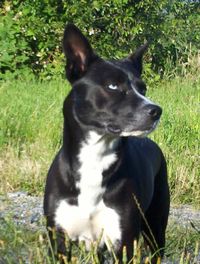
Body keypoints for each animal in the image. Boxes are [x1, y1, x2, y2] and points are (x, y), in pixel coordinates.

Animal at [43, 24, 170, 262]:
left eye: (143, 88)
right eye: (112, 86)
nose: (156, 110)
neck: (95, 156)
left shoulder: (124, 242)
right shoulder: (58, 239)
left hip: (155, 228)